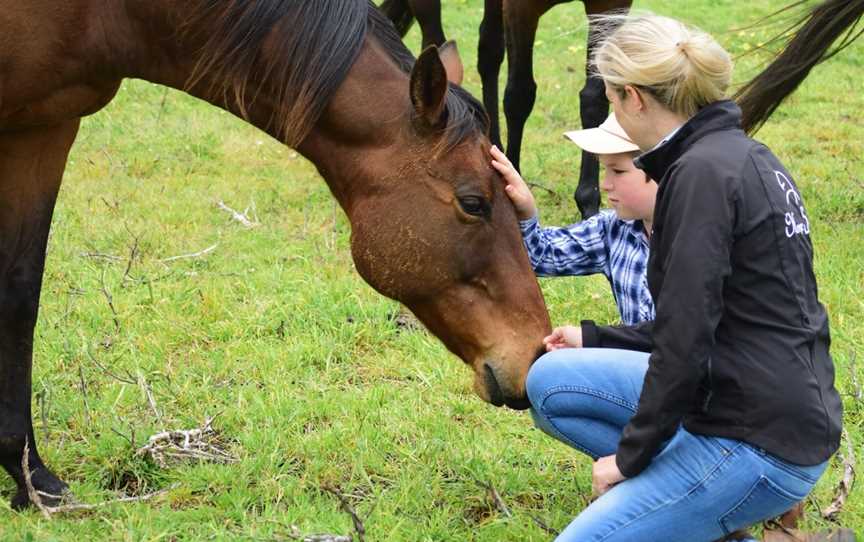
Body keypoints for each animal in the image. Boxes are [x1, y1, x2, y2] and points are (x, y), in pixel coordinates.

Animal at [0, 0, 552, 510]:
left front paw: (31, 478)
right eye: (474, 203)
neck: (112, 16)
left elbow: (20, 294)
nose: (534, 354)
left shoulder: (47, 126)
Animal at [382, 0, 632, 219]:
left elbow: (595, 98)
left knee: (488, 51)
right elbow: (519, 95)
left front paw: (589, 204)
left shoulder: (609, 5)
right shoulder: (520, 8)